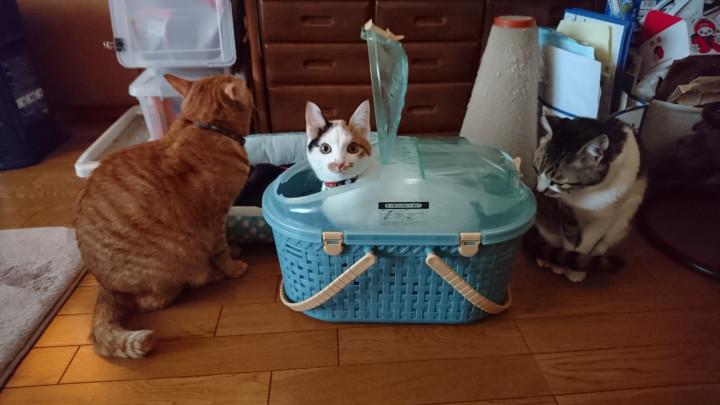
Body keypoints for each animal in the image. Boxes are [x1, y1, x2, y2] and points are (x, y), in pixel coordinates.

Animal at [74, 74, 253, 358]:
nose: (242, 78)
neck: (208, 128)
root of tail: (104, 287)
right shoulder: (215, 217)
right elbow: (221, 248)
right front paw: (233, 267)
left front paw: (234, 250)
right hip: (173, 262)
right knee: (154, 301)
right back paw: (210, 275)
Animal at [525, 109, 647, 282]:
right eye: (536, 169)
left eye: (557, 182)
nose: (540, 190)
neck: (587, 192)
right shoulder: (565, 209)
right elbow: (569, 238)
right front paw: (563, 263)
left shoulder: (605, 218)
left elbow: (586, 244)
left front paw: (574, 269)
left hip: (622, 221)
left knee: (603, 244)